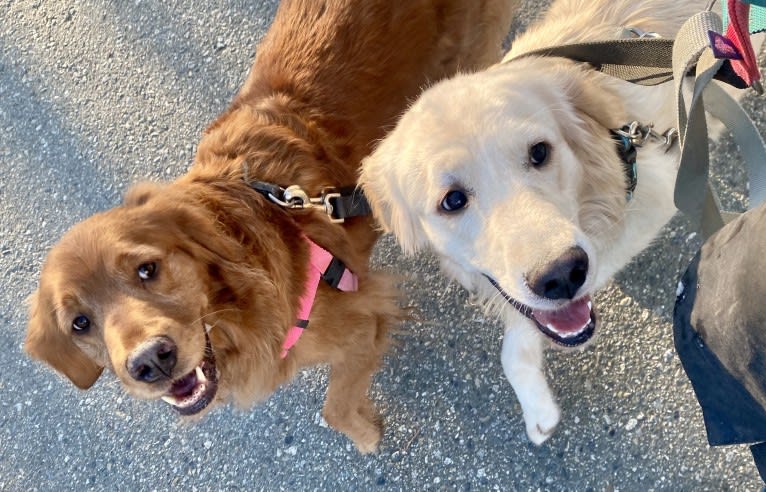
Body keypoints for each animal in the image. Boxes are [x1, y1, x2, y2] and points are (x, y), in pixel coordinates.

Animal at [24, 0, 520, 454]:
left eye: (148, 269)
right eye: (80, 323)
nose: (151, 361)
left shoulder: (364, 316)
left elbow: (335, 409)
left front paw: (368, 436)